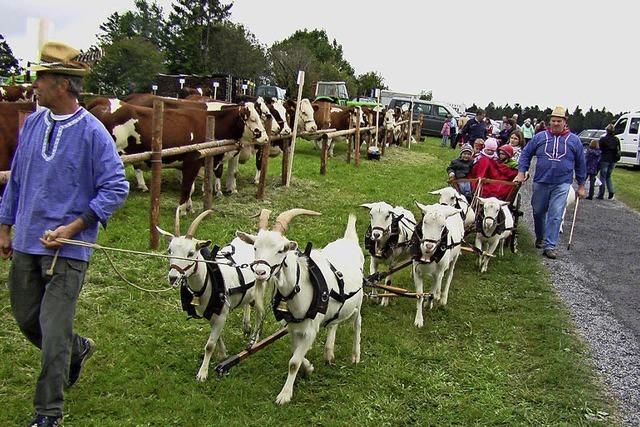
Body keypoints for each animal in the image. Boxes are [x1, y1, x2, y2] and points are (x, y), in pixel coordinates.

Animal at [159, 210, 268, 382]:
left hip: (261, 286)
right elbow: (217, 337)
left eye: (191, 253)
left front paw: (202, 374)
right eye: (170, 250)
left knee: (260, 312)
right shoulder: (211, 312)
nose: (173, 277)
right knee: (247, 303)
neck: (208, 280)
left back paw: (254, 339)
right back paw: (246, 325)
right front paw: (223, 354)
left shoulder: (221, 314)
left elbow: (210, 345)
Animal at [236, 209, 364, 406]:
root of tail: (349, 240)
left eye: (281, 250)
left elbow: (293, 362)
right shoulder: (294, 327)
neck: (299, 288)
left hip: (359, 299)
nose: (260, 272)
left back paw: (355, 355)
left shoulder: (311, 329)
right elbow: (296, 354)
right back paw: (328, 353)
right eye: (255, 247)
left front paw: (284, 395)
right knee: (333, 323)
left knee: (357, 322)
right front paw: (309, 367)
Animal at [410, 202, 464, 330]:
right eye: (425, 222)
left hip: (454, 257)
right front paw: (419, 320)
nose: (429, 245)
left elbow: (433, 294)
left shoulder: (438, 272)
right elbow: (419, 295)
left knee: (449, 275)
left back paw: (443, 298)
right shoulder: (417, 271)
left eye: (442, 226)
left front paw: (429, 303)